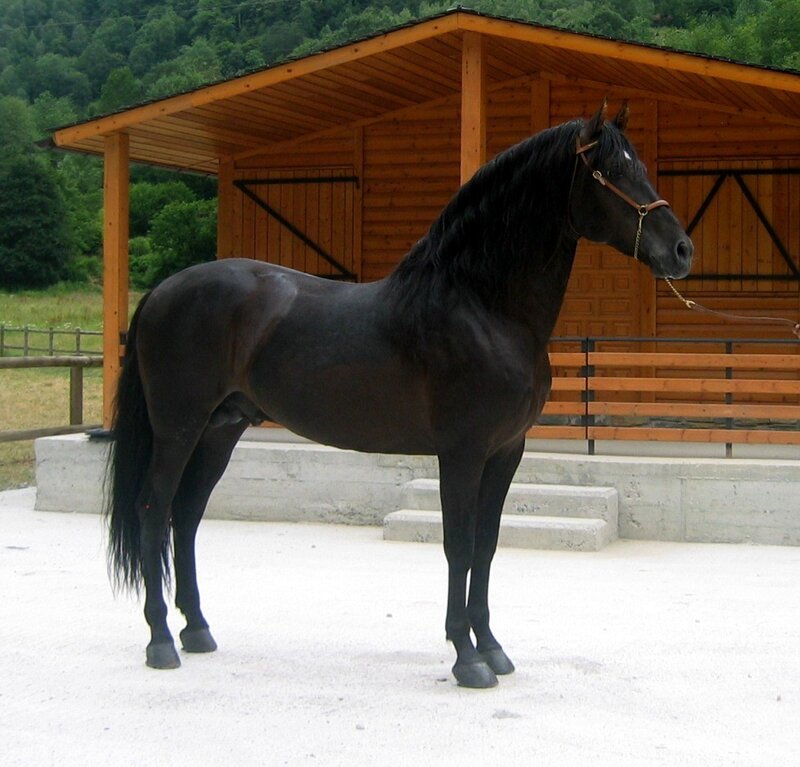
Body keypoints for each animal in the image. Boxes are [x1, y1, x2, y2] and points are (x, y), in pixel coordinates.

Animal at [106, 101, 693, 688]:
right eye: (610, 172)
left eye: (640, 166)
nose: (682, 249)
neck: (483, 307)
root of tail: (162, 291)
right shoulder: (462, 453)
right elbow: (458, 545)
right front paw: (466, 658)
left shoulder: (506, 451)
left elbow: (487, 545)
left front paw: (493, 648)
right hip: (179, 428)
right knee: (154, 510)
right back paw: (161, 641)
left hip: (220, 430)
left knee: (186, 515)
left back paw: (197, 630)